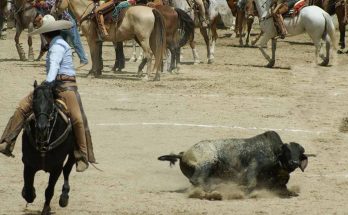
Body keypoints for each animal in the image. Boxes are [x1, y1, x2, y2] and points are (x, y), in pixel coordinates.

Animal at [22, 82, 76, 215]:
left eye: (50, 101)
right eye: (34, 100)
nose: (42, 127)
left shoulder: (57, 167)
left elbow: (49, 190)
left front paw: (46, 208)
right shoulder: (28, 164)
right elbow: (29, 191)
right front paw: (28, 192)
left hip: (73, 154)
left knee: (67, 170)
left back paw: (64, 197)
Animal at [159, 131, 308, 197]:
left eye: (299, 154)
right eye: (287, 151)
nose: (294, 162)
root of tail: (183, 153)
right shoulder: (253, 167)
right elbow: (251, 184)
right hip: (207, 163)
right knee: (197, 180)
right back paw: (213, 192)